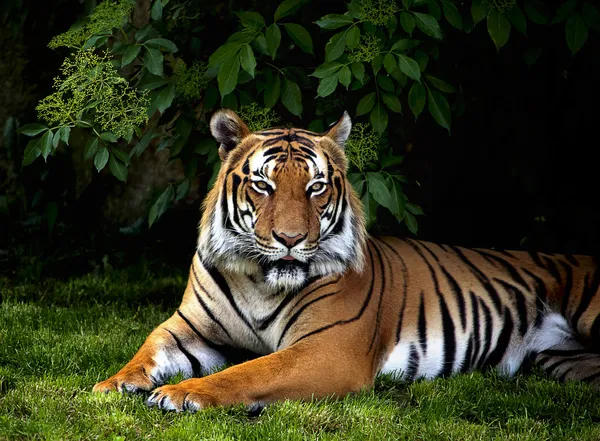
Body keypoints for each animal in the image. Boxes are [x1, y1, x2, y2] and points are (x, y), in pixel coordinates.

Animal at [91, 108, 600, 410]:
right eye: (263, 185)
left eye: (316, 187)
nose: (290, 239)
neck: (260, 280)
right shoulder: (188, 327)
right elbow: (148, 349)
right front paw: (114, 383)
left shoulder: (328, 349)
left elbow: (248, 371)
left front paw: (182, 393)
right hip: (567, 362)